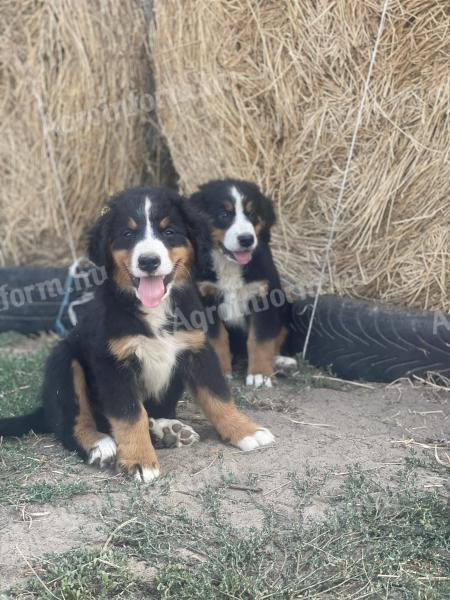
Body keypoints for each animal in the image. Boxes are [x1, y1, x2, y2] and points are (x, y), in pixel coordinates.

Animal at [0, 185, 274, 480]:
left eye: (168, 232)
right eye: (128, 234)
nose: (149, 261)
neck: (155, 308)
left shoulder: (197, 350)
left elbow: (218, 397)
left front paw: (246, 431)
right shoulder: (113, 363)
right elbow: (130, 415)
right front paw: (140, 460)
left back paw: (167, 430)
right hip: (64, 361)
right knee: (70, 424)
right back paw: (99, 444)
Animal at [187, 179, 296, 390]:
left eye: (252, 214)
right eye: (224, 215)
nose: (246, 239)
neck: (229, 265)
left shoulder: (263, 297)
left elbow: (260, 340)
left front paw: (260, 374)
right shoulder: (205, 298)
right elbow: (217, 338)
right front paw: (221, 371)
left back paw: (281, 362)